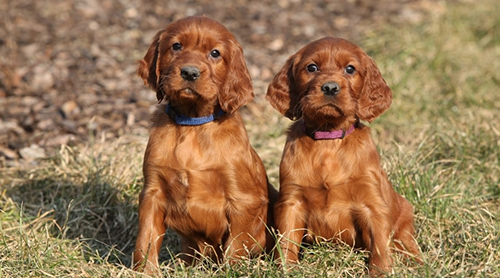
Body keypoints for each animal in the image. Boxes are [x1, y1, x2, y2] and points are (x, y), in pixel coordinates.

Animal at [133, 15, 278, 274]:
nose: (190, 72)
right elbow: (146, 238)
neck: (193, 123)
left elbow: (235, 244)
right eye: (176, 46)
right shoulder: (152, 193)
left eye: (215, 53)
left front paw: (231, 271)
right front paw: (144, 272)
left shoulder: (243, 200)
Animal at [268, 37, 420, 276]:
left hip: (404, 217)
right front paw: (286, 269)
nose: (330, 87)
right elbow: (286, 240)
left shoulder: (372, 203)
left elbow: (379, 243)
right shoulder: (291, 201)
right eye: (312, 67)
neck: (329, 140)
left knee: (407, 243)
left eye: (350, 69)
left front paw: (380, 272)